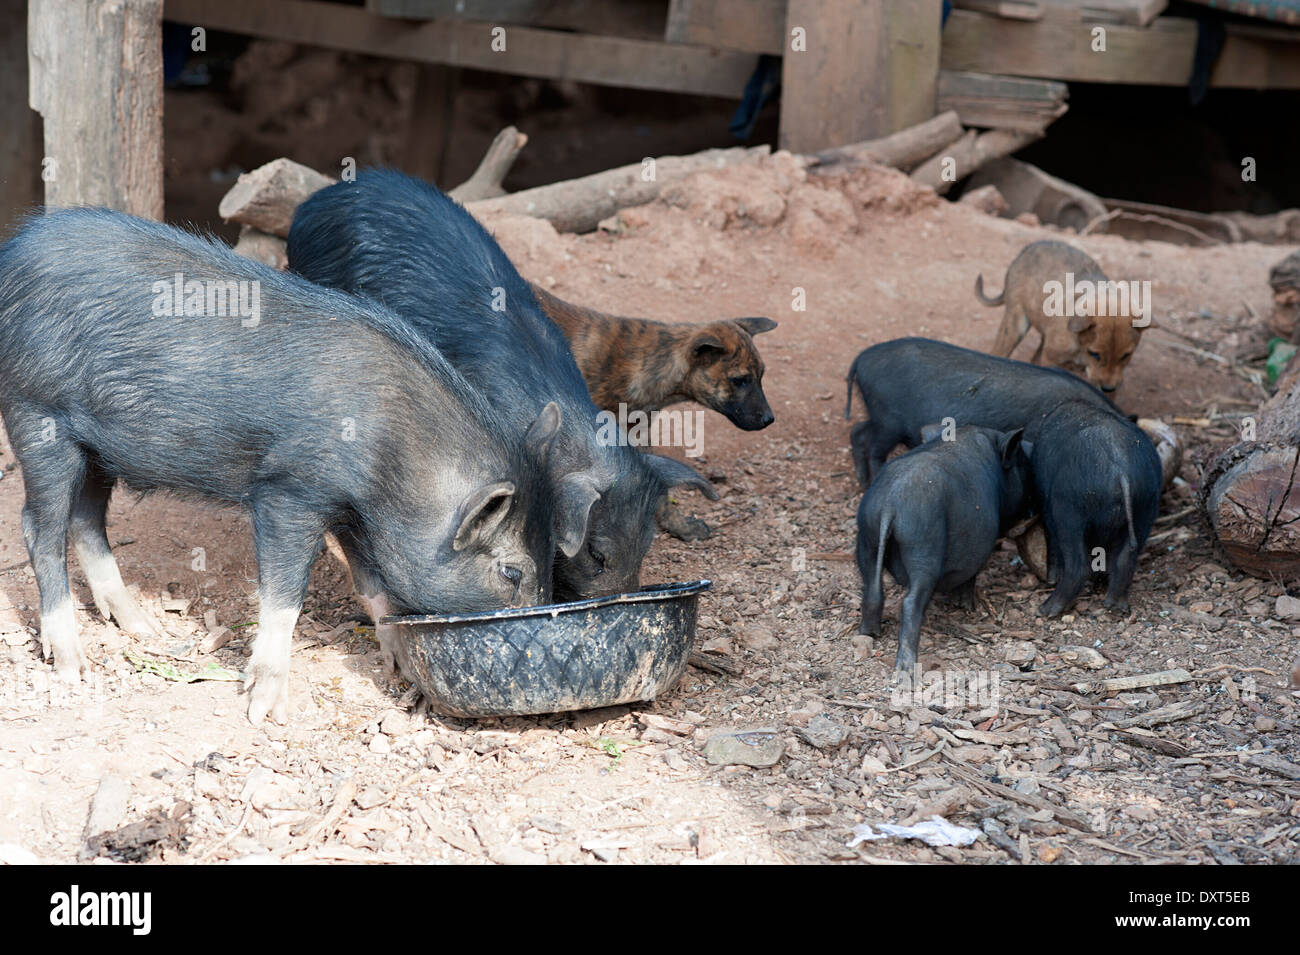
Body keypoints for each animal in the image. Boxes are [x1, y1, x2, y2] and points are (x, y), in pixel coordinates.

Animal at [977, 240, 1149, 394]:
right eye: (1095, 354)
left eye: (1126, 356)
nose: (1108, 389)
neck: (1080, 346)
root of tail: (1026, 249)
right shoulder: (1051, 360)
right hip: (1015, 324)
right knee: (999, 351)